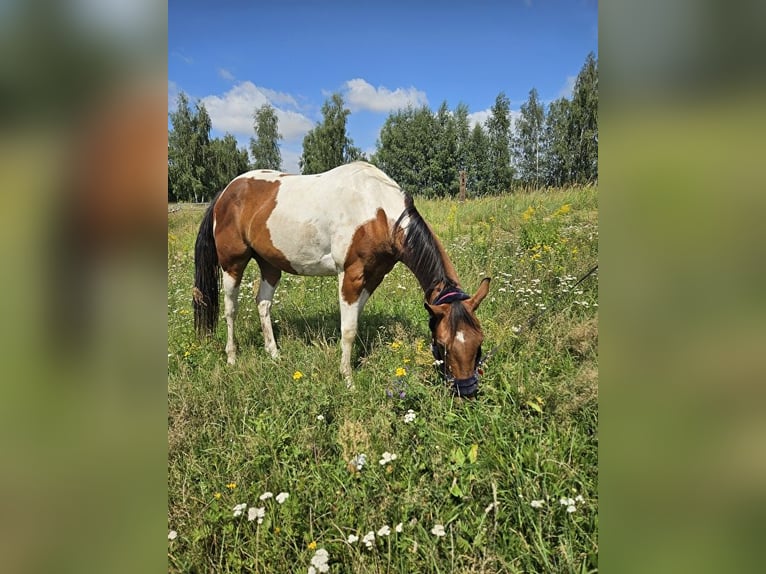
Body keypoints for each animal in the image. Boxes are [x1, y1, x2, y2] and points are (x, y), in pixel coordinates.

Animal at [192, 161, 492, 396]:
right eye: (442, 344)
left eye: (479, 342)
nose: (467, 392)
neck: (378, 211)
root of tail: (226, 191)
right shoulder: (351, 275)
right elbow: (348, 329)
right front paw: (348, 379)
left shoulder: (374, 276)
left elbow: (352, 322)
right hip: (232, 263)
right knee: (231, 309)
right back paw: (232, 357)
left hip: (270, 263)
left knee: (263, 303)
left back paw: (274, 354)